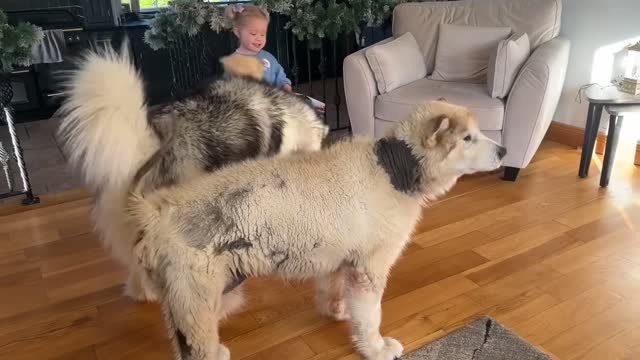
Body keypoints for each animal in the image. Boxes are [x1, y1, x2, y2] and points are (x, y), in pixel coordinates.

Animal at [130, 99, 508, 360]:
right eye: (468, 138)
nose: (504, 150)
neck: (392, 168)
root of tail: (156, 210)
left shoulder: (338, 257)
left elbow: (333, 289)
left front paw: (336, 311)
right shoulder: (369, 269)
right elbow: (371, 316)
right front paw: (376, 348)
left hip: (198, 293)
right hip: (197, 297)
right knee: (195, 346)